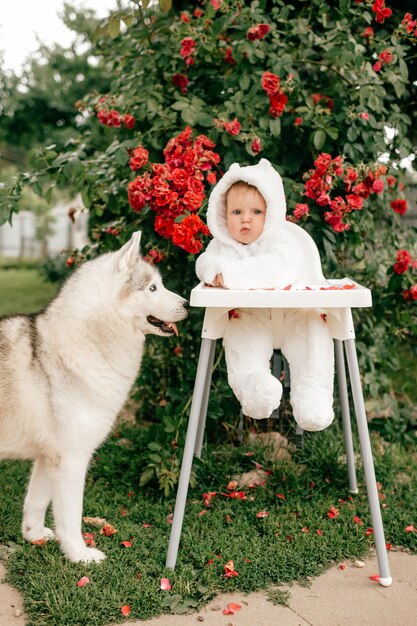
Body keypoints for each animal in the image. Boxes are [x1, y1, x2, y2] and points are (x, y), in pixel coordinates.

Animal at [0, 232, 188, 564]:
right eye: (153, 287)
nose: (188, 304)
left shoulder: (49, 457)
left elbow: (36, 502)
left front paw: (33, 536)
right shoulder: (72, 460)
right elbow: (71, 517)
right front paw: (79, 554)